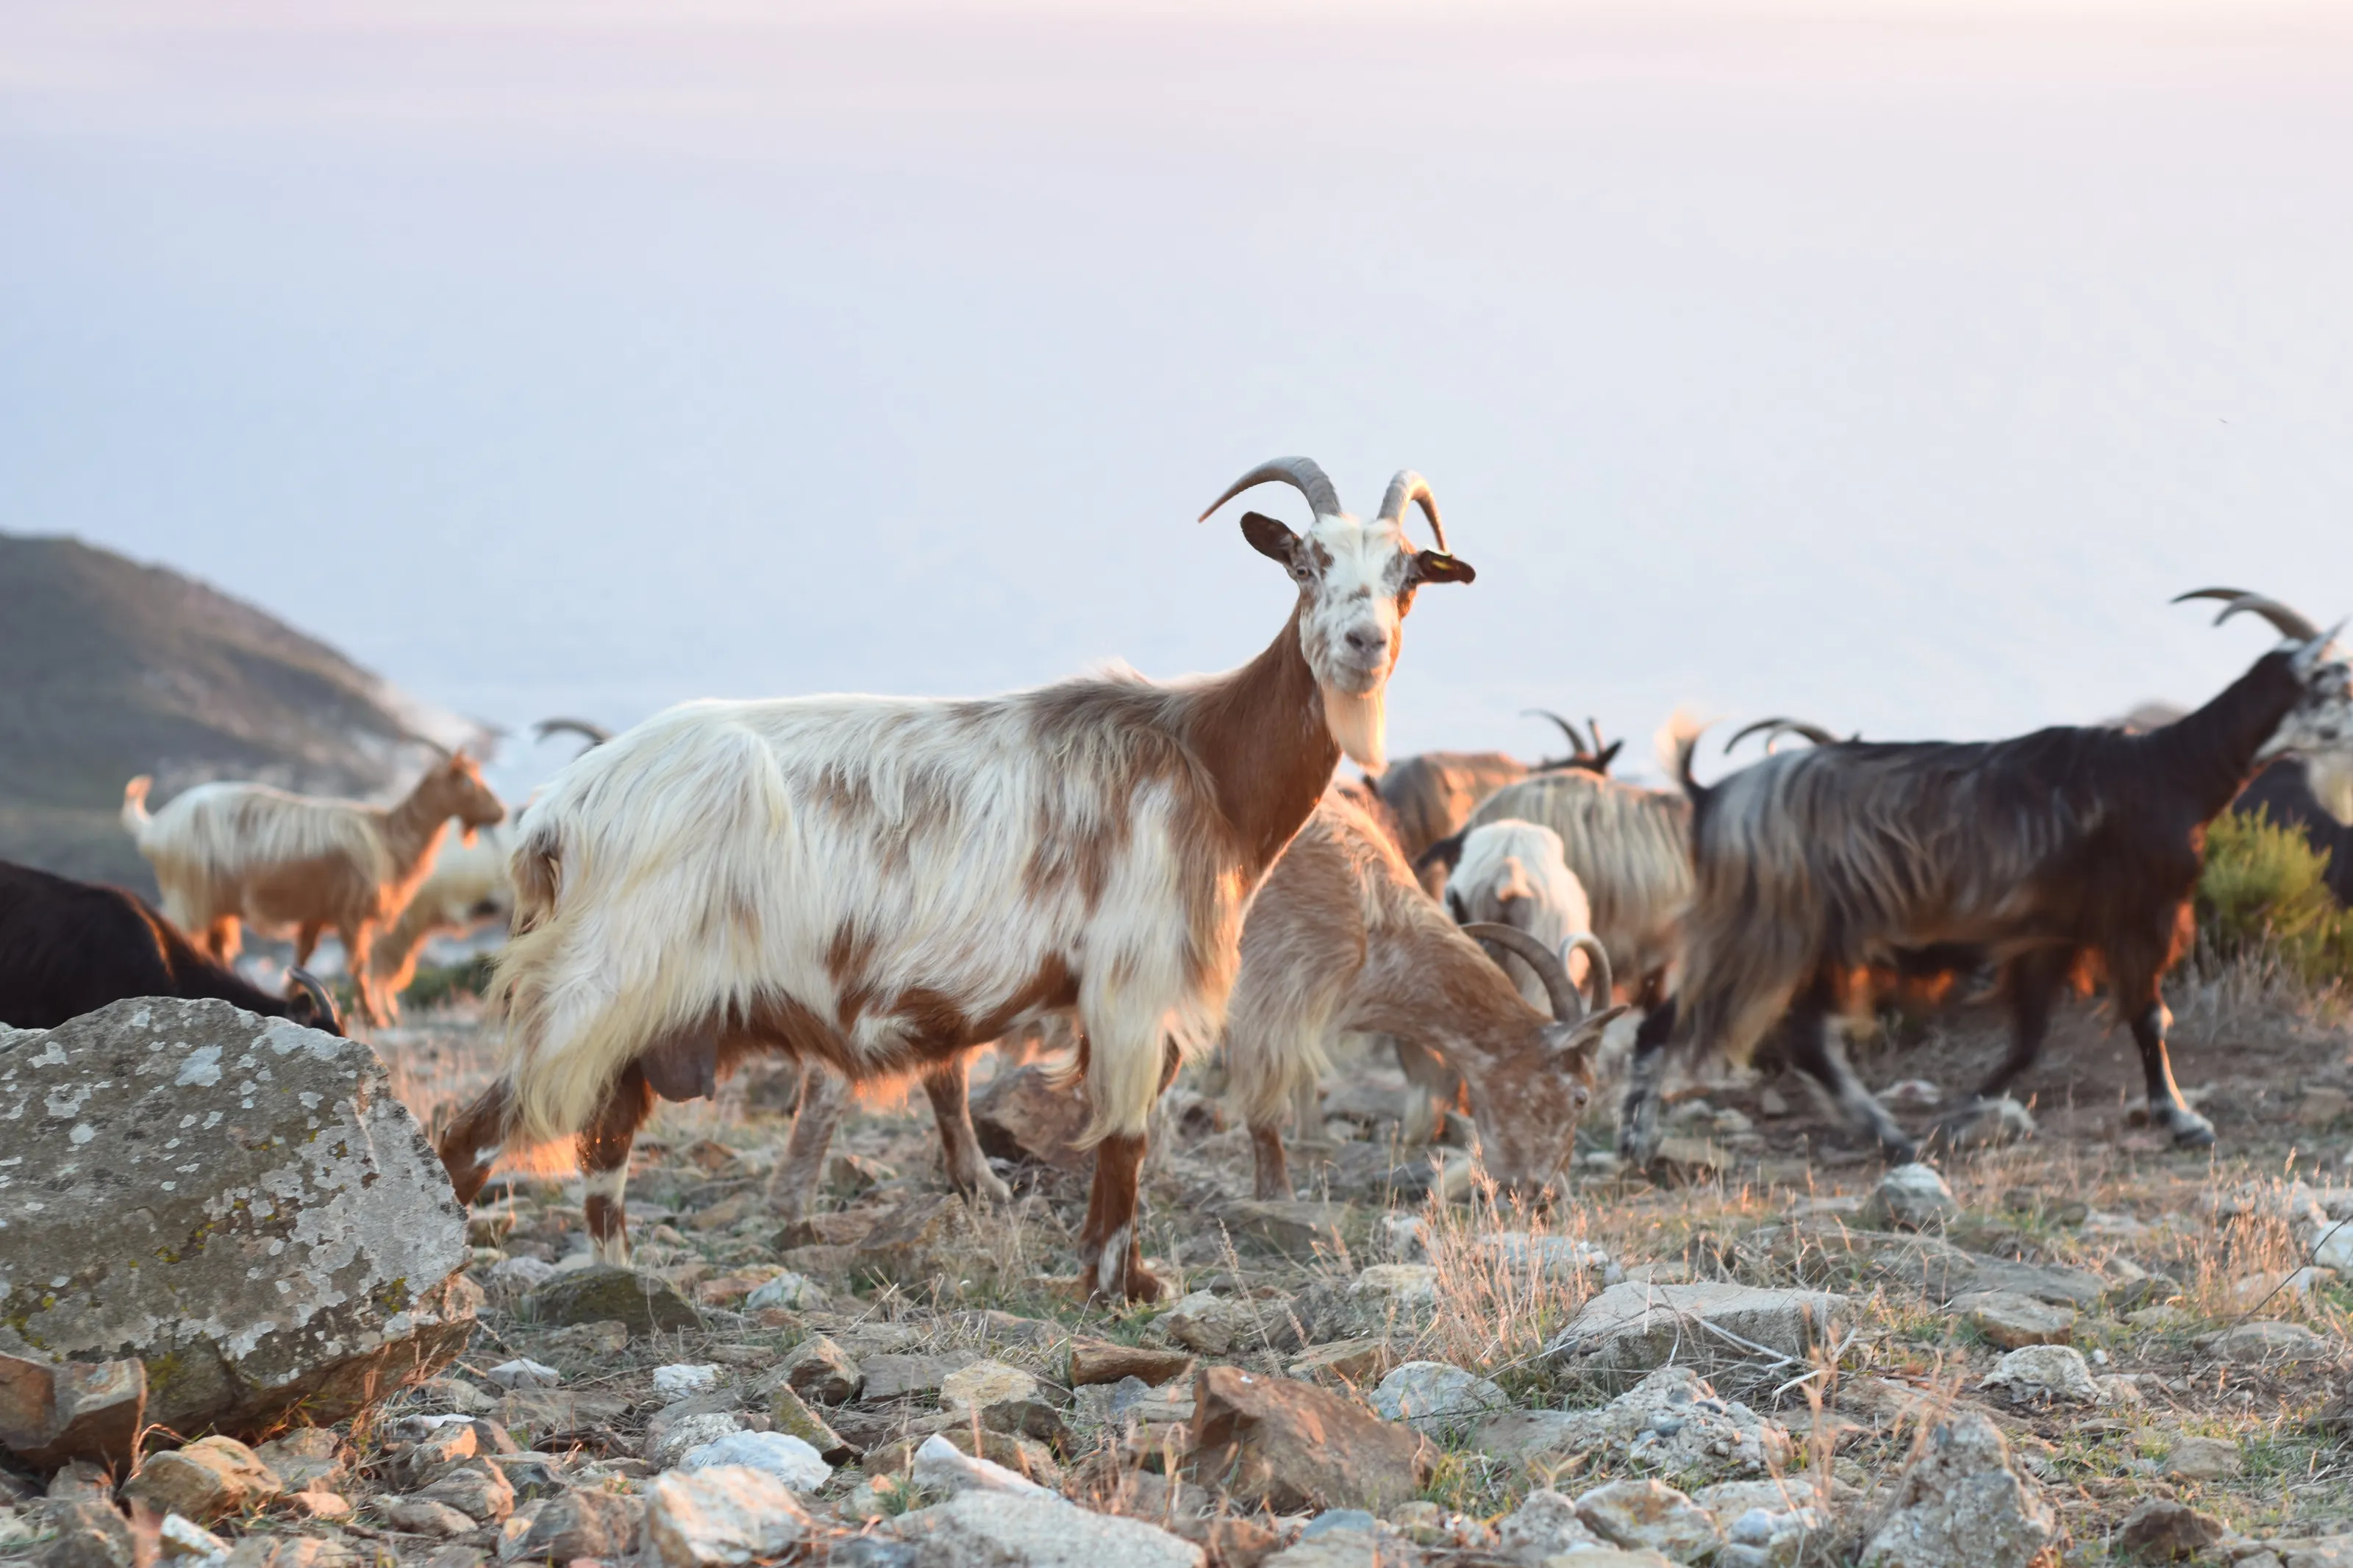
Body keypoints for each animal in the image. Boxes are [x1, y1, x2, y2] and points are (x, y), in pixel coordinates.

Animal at [122, 752, 507, 1028]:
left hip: (216, 904)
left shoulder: (318, 913)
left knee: (216, 948)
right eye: (468, 782)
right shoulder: (351, 914)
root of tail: (155, 828)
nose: (501, 812)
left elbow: (303, 957)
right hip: (191, 898)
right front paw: (374, 1018)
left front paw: (295, 998)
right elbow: (358, 965)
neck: (388, 837)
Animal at [434, 457, 1476, 1302]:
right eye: (1304, 563)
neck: (1205, 760)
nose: (1361, 644)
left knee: (602, 1156)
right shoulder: (1132, 987)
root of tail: (557, 811)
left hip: (640, 1025)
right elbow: (1125, 1140)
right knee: (473, 1139)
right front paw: (1118, 1289)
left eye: (1406, 577)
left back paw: (623, 1287)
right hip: (593, 996)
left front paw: (1113, 1276)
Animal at [1224, 789, 1622, 1200]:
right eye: (1580, 1098)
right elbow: (1265, 1106)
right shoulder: (1270, 987)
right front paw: (1277, 1194)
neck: (1370, 925)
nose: (1547, 1193)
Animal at [1619, 588, 2353, 1163]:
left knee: (1801, 1039)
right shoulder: (2134, 917)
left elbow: (2029, 1040)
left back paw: (1889, 1135)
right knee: (1675, 1025)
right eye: (2340, 684)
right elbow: (2149, 1018)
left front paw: (1963, 1110)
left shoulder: (2048, 935)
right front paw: (2184, 1120)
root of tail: (1710, 794)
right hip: (1769, 929)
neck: (2170, 770)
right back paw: (1638, 1144)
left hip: (1813, 939)